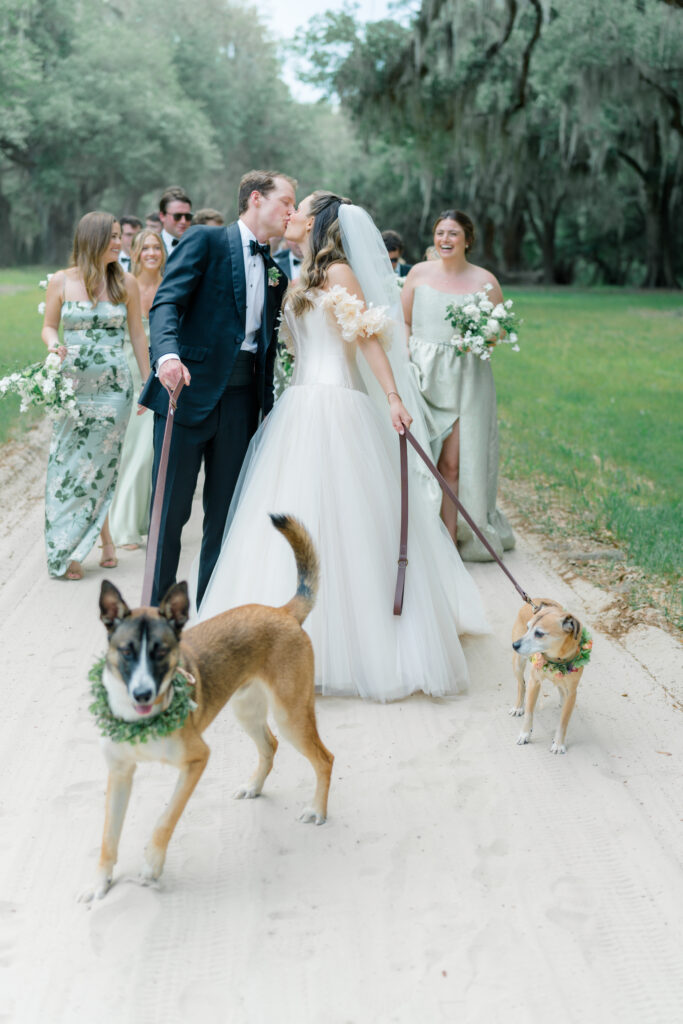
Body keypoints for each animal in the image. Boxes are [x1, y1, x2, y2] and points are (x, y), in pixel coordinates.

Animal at [80, 516, 333, 901]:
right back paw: (254, 786)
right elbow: (109, 837)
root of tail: (282, 611)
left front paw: (152, 866)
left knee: (324, 758)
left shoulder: (196, 761)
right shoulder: (120, 773)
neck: (140, 721)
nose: (143, 694)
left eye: (161, 651)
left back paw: (317, 810)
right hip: (247, 711)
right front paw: (100, 883)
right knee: (270, 746)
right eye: (126, 651)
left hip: (290, 716)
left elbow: (165, 819)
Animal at [509, 598, 589, 753]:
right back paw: (518, 707)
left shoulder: (572, 692)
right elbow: (529, 713)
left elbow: (563, 721)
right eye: (528, 628)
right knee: (521, 685)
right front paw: (525, 734)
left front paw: (558, 743)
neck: (556, 658)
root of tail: (535, 599)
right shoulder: (534, 682)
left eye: (539, 633)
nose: (514, 645)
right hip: (518, 663)